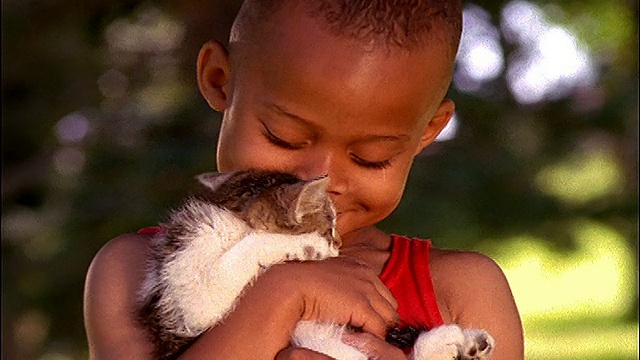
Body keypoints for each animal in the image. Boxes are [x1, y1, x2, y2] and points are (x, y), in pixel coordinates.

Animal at [136, 170, 496, 358]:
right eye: (330, 226)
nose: (337, 243)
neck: (232, 221)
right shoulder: (187, 299)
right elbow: (235, 260)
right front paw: (308, 247)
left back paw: (465, 344)